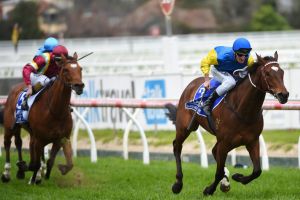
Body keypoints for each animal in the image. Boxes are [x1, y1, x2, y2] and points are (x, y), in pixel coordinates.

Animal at [1, 52, 84, 184]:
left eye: (80, 69)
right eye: (66, 70)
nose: (79, 86)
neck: (56, 111)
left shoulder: (60, 138)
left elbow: (54, 161)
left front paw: (46, 175)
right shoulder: (39, 138)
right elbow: (34, 164)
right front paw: (29, 173)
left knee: (19, 142)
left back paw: (22, 173)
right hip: (9, 126)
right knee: (8, 143)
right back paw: (6, 173)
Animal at [165, 51, 290, 195]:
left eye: (282, 72)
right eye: (268, 73)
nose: (284, 95)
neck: (243, 111)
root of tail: (192, 83)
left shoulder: (252, 141)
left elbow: (257, 170)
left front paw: (237, 177)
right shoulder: (224, 142)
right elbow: (218, 172)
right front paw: (209, 189)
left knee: (214, 150)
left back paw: (225, 181)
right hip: (184, 127)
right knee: (177, 146)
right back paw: (178, 184)